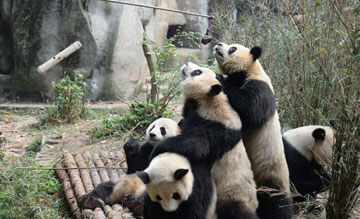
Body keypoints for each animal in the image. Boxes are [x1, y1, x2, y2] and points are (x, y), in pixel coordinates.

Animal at [214, 43, 292, 219]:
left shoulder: (261, 88)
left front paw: (218, 77)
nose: (218, 45)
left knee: (276, 201)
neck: (248, 70)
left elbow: (251, 109)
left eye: (232, 49)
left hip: (270, 172)